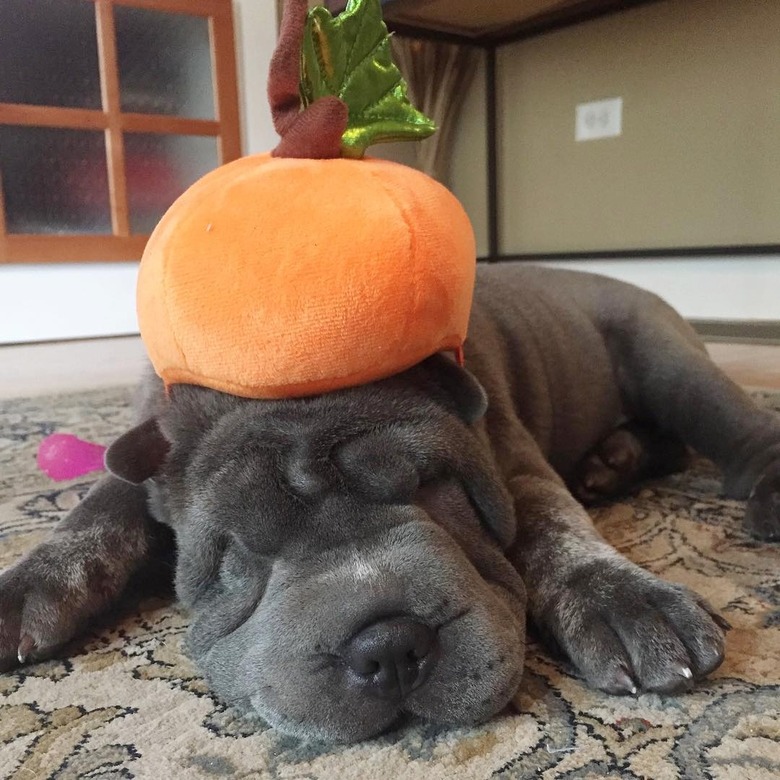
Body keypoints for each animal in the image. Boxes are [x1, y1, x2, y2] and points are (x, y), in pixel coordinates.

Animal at [1, 266, 780, 740]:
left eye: (436, 489)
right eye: (242, 552)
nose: (387, 644)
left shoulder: (511, 458)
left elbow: (554, 530)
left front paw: (623, 598)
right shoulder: (146, 453)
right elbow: (98, 512)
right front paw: (27, 585)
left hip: (665, 357)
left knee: (738, 433)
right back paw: (610, 463)